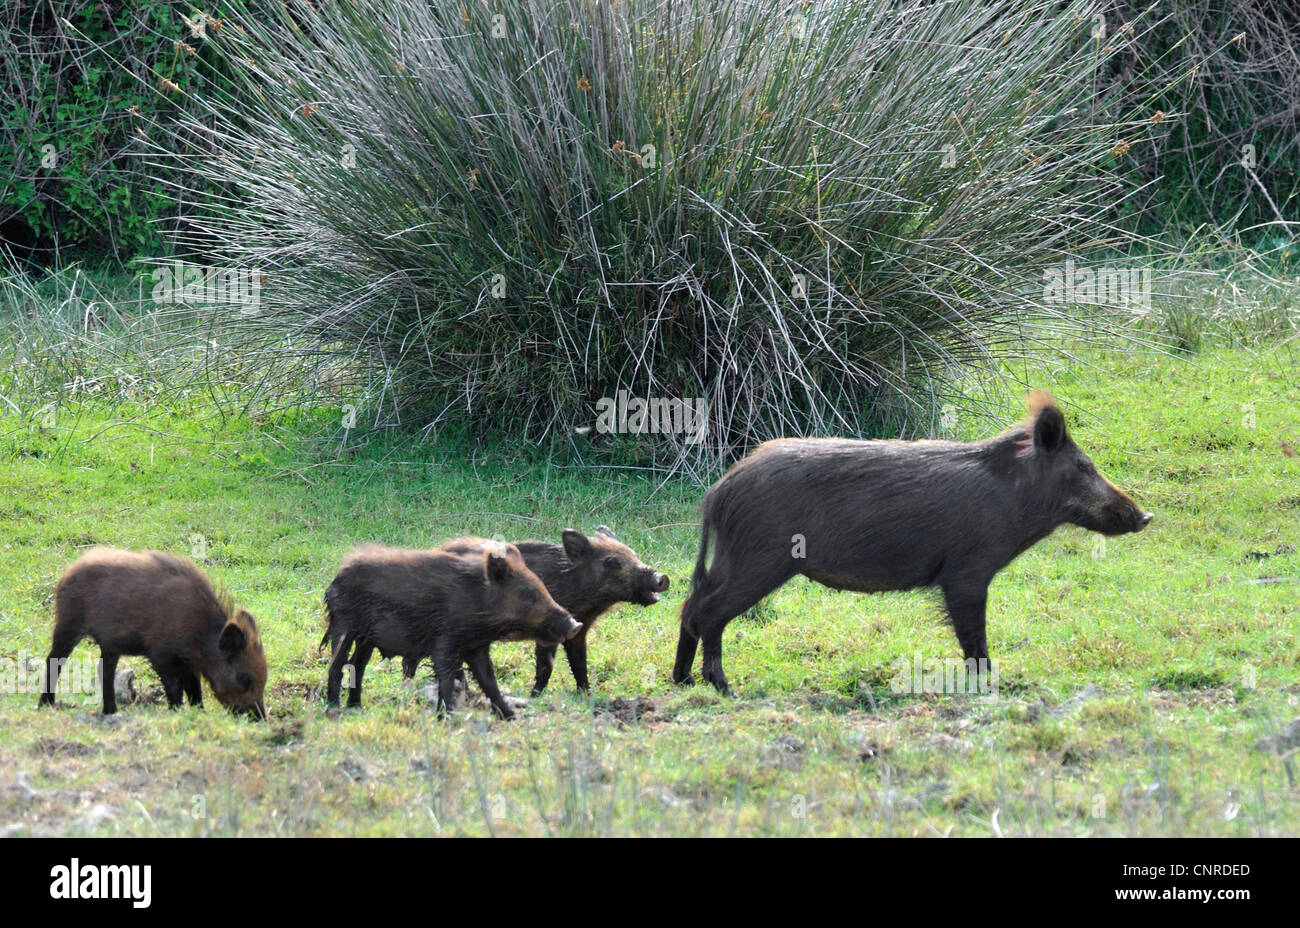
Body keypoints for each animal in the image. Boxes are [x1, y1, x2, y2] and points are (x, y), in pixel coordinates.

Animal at [37, 548, 268, 718]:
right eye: (244, 678)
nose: (261, 717)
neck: (199, 632)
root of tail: (67, 573)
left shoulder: (188, 663)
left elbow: (195, 690)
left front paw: (199, 713)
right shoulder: (160, 655)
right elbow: (175, 688)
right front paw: (177, 712)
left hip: (109, 645)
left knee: (105, 672)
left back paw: (111, 712)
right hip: (68, 624)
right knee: (54, 660)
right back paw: (45, 704)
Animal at [322, 539, 581, 719]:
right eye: (527, 594)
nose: (575, 625)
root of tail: (334, 579)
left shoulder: (476, 647)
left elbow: (489, 681)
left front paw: (510, 717)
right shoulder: (444, 642)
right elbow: (446, 679)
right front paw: (446, 718)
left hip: (366, 639)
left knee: (357, 666)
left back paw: (356, 707)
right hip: (344, 625)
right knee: (337, 666)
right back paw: (334, 709)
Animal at [392, 527, 670, 695]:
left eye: (633, 553)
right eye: (612, 562)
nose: (662, 578)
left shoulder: (579, 631)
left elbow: (580, 664)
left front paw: (587, 694)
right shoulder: (549, 632)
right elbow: (546, 667)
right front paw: (535, 696)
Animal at [672, 393, 1153, 695]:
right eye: (1083, 465)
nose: (1145, 516)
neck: (1015, 500)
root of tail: (720, 491)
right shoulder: (966, 573)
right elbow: (973, 637)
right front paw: (990, 685)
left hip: (735, 557)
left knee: (690, 605)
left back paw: (683, 681)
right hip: (760, 558)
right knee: (707, 611)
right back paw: (724, 688)